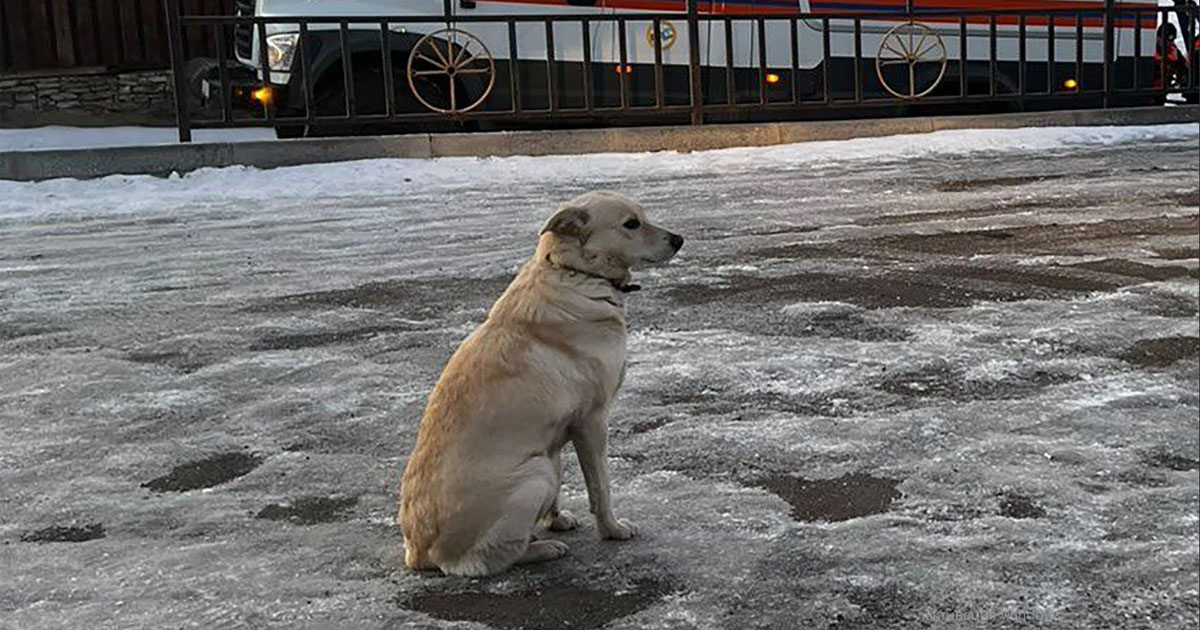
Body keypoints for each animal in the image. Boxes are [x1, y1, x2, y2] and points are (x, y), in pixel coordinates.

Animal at [398, 188, 686, 573]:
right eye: (631, 224)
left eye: (643, 216)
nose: (679, 239)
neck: (575, 272)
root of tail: (419, 553)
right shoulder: (593, 421)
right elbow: (601, 488)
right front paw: (611, 529)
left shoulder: (558, 434)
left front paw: (557, 519)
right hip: (536, 474)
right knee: (486, 561)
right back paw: (542, 549)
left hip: (544, 462)